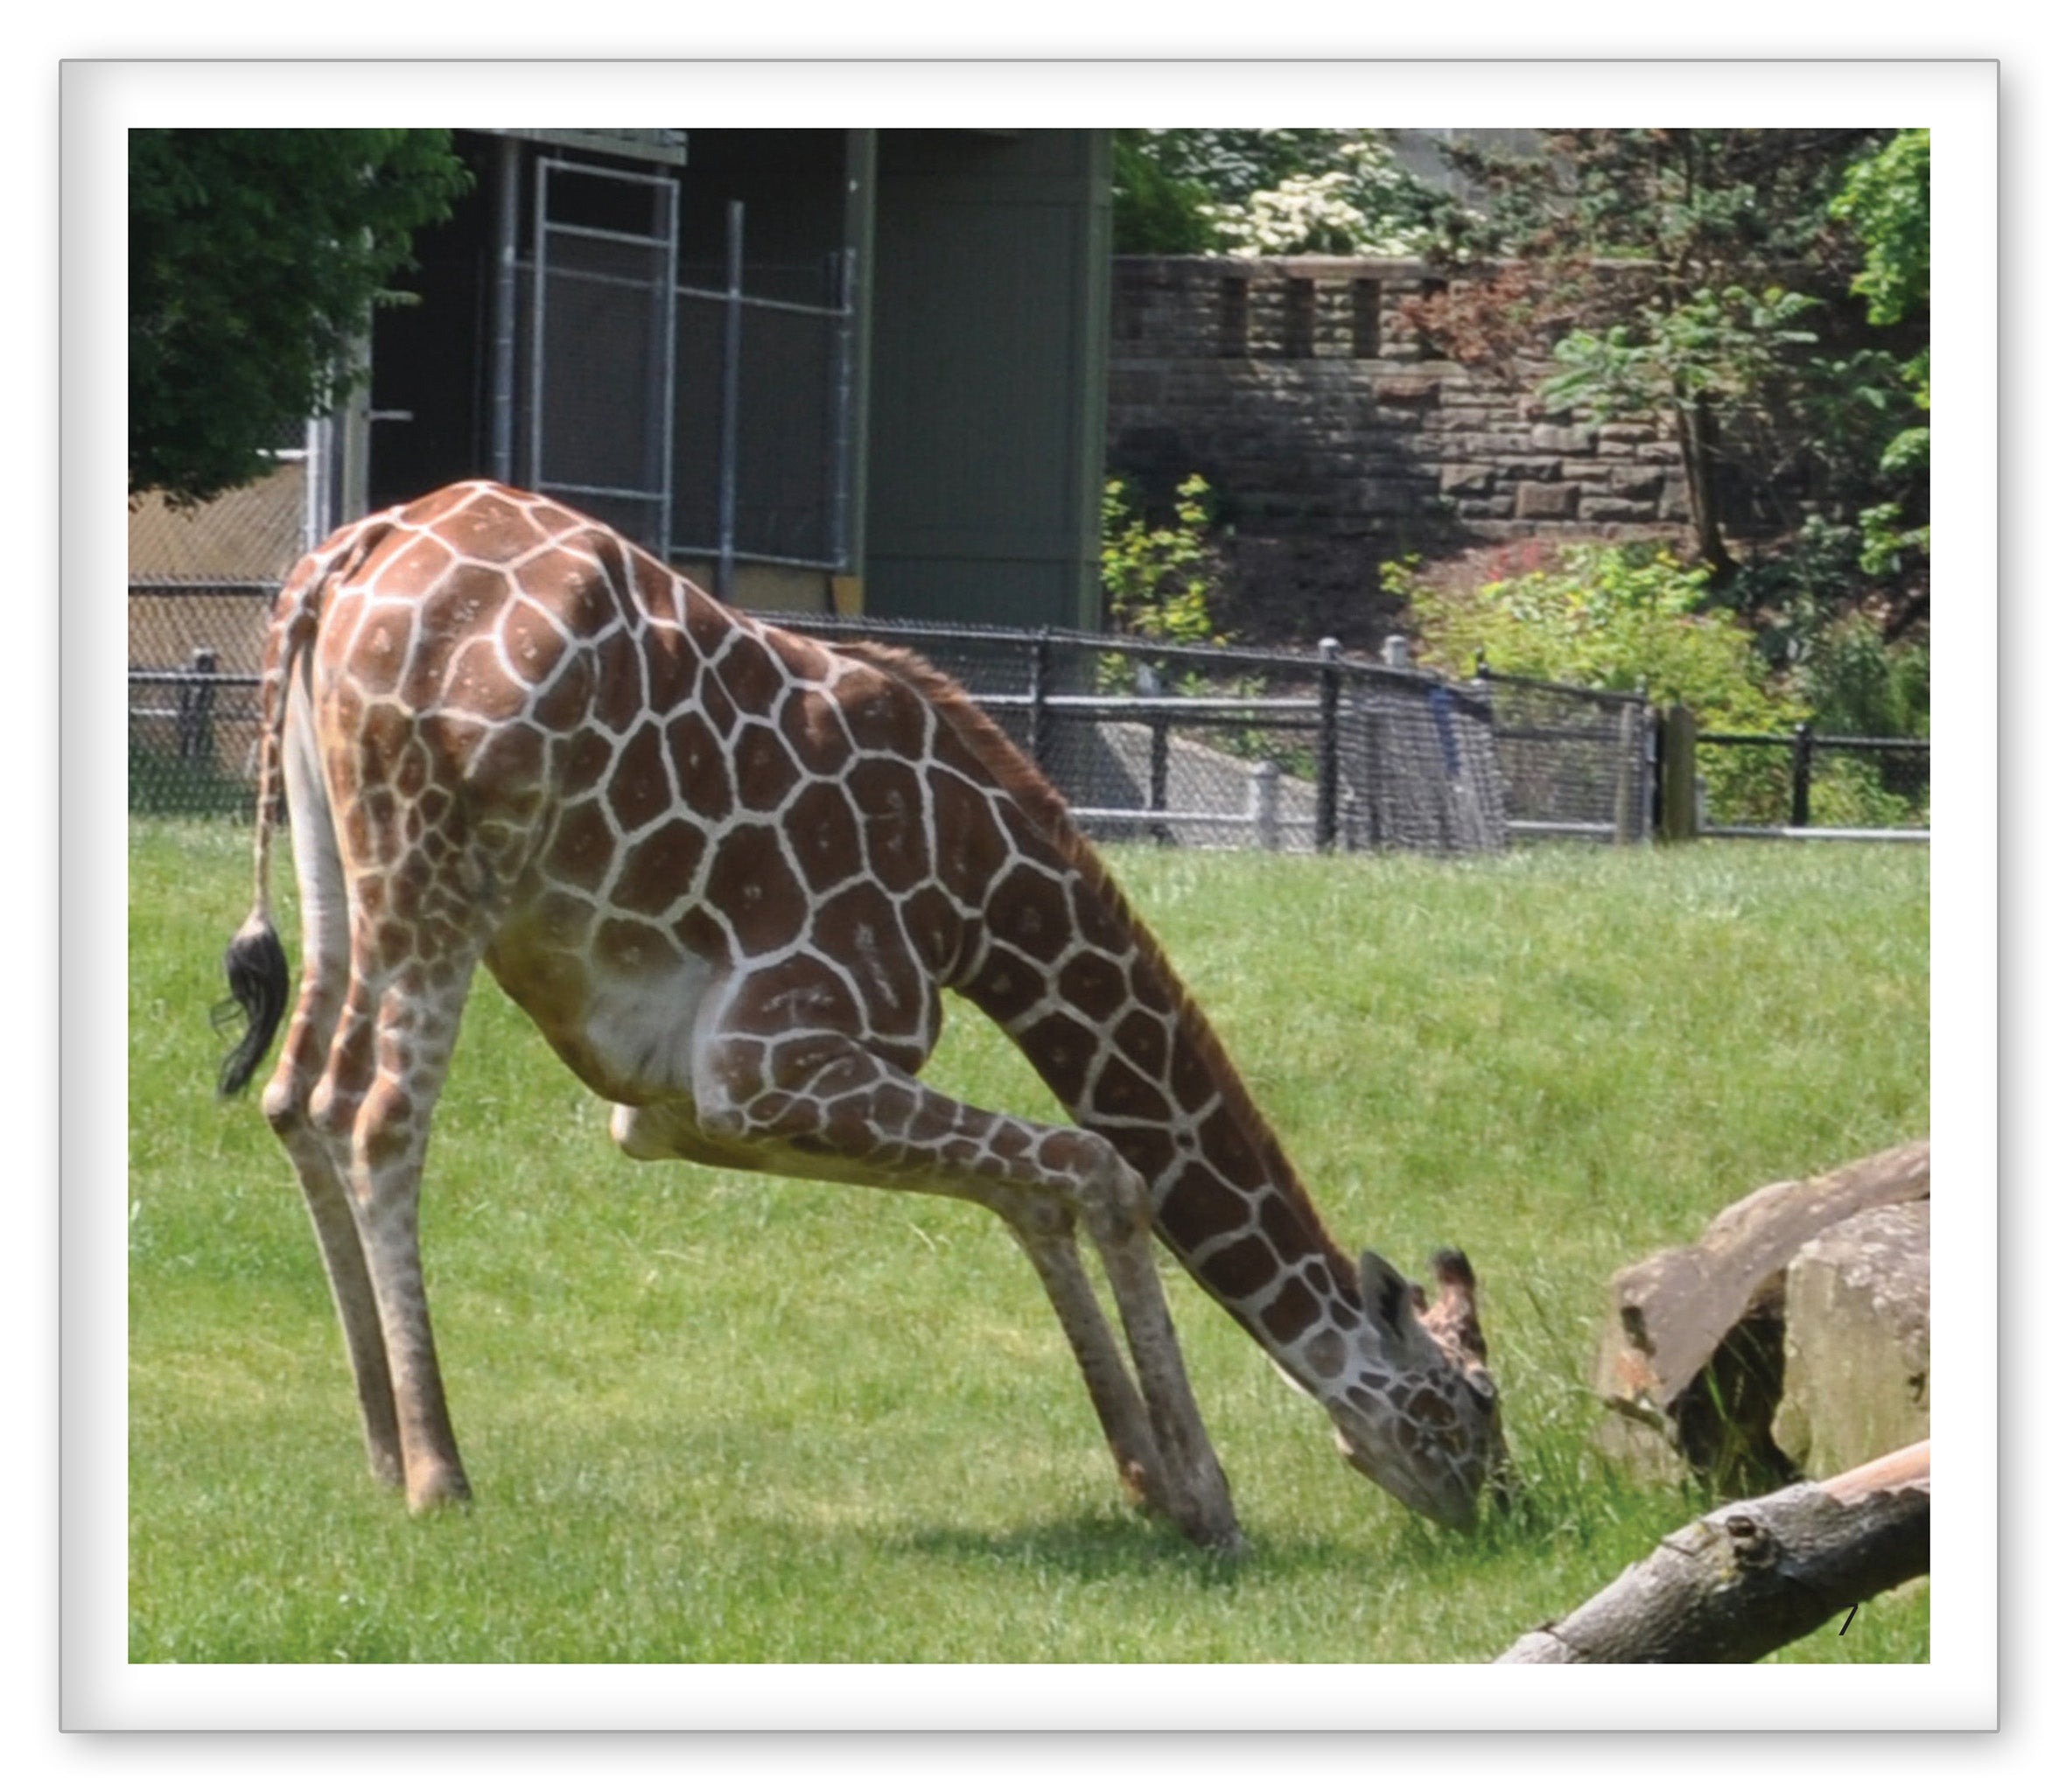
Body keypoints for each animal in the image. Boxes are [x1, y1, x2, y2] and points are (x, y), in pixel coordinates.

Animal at [217, 480, 1505, 1549]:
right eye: (1469, 1400)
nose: (1504, 1506)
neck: (983, 893)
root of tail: (342, 557)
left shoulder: (686, 1105)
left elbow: (1025, 1188)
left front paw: (1146, 1481)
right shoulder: (772, 1057)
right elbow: (1099, 1168)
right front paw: (1202, 1498)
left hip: (335, 852)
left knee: (296, 1095)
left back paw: (380, 1447)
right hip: (437, 868)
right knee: (379, 1117)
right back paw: (439, 1469)